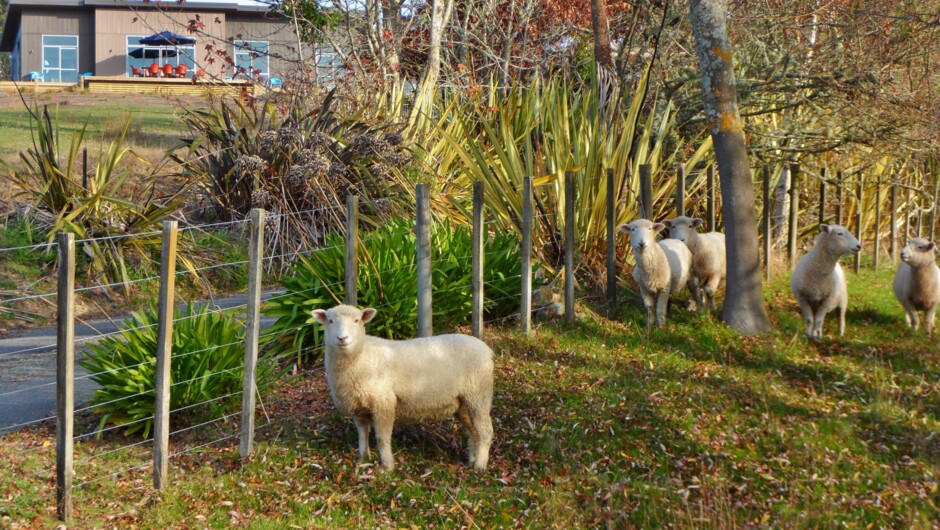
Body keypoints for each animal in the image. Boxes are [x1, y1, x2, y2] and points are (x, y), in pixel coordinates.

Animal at [310, 304, 500, 468]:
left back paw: (480, 466)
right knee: (473, 431)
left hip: (478, 394)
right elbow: (362, 434)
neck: (363, 355)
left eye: (357, 321)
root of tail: (487, 350)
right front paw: (363, 459)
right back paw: (472, 459)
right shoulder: (358, 407)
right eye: (330, 321)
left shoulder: (383, 403)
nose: (342, 338)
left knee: (485, 430)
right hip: (463, 401)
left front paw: (387, 466)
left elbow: (382, 438)